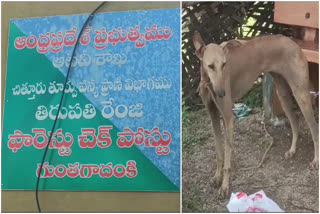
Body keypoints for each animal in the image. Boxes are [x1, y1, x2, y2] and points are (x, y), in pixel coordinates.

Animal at [191, 32, 318, 199]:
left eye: (224, 65)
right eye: (210, 66)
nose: (222, 93)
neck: (209, 83)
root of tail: (293, 42)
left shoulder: (228, 118)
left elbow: (227, 158)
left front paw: (224, 187)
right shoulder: (213, 116)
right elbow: (219, 152)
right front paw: (217, 177)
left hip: (301, 94)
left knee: (314, 128)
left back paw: (316, 160)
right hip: (283, 94)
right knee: (295, 120)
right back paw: (292, 150)